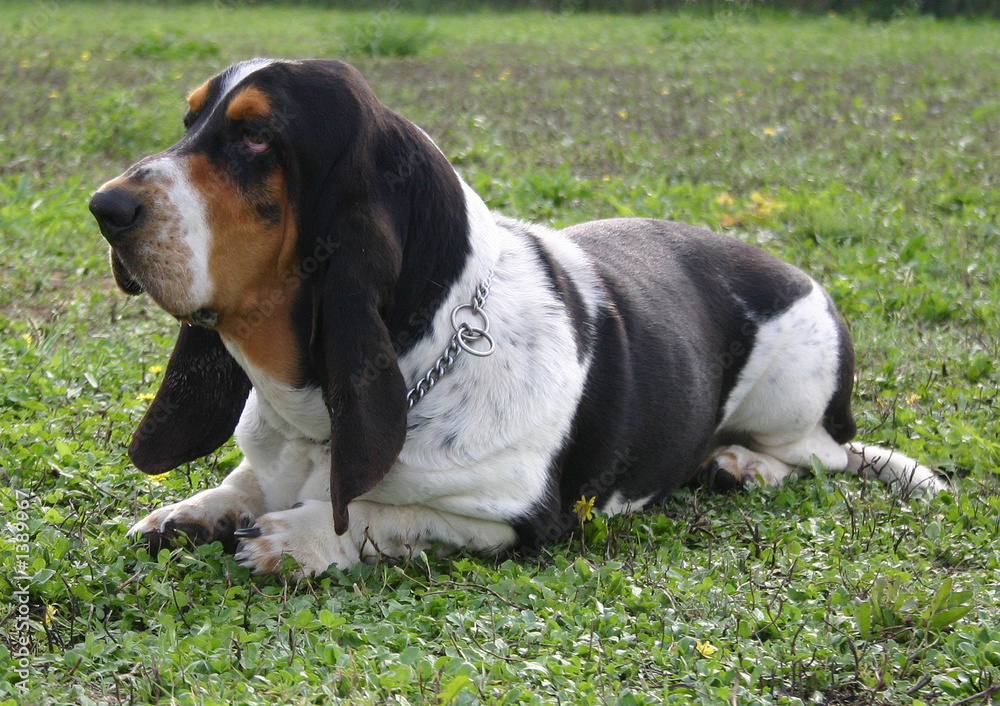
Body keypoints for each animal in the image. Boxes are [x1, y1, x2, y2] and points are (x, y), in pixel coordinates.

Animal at [88, 57, 944, 576]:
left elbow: (380, 512)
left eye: (257, 137)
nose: (104, 208)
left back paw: (744, 463)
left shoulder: (518, 522)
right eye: (191, 121)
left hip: (790, 391)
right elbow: (244, 481)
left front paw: (297, 537)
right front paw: (188, 513)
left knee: (822, 454)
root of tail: (799, 274)